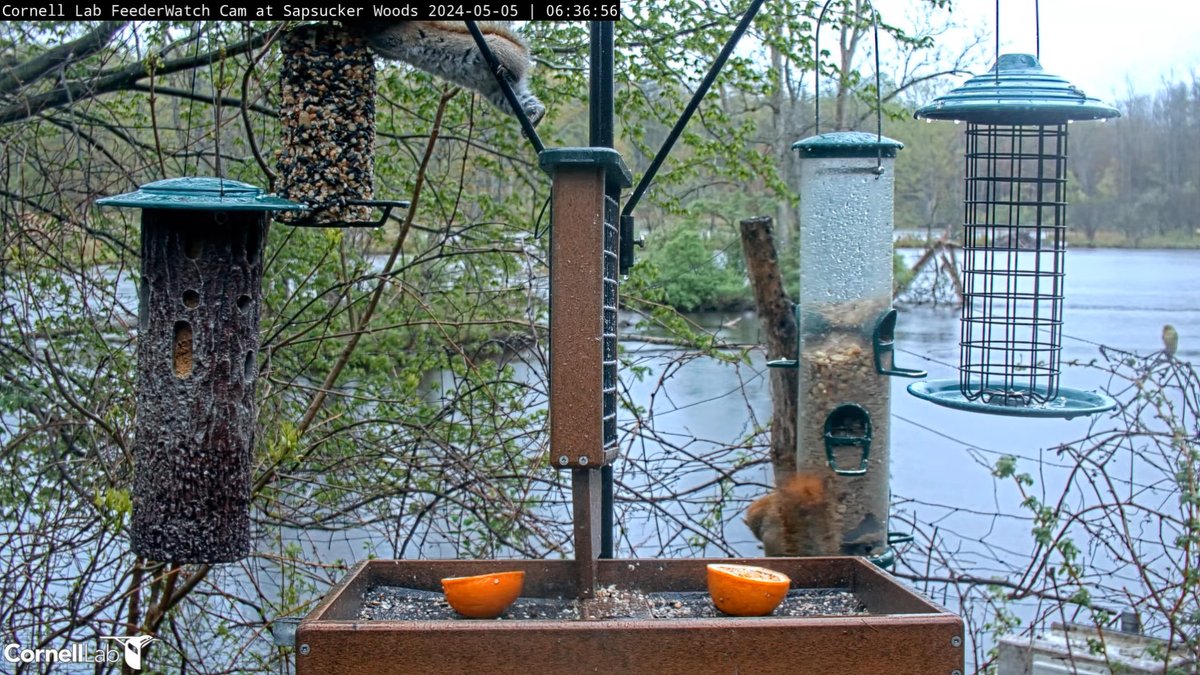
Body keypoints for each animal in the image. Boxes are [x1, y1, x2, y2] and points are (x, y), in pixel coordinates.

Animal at [345, 20, 547, 125]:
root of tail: (523, 54)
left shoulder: (399, 37)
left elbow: (380, 40)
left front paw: (363, 36)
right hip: (500, 95)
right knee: (527, 102)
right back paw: (536, 116)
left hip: (497, 53)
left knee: (510, 71)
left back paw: (503, 70)